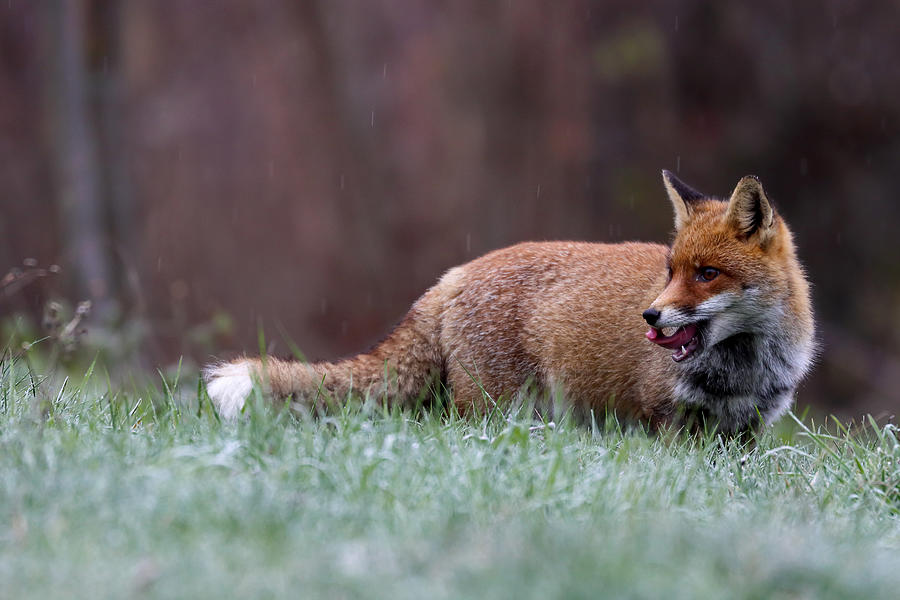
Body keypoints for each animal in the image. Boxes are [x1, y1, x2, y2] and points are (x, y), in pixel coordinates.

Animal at [204, 171, 816, 434]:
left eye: (706, 274)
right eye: (671, 272)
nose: (651, 314)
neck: (742, 367)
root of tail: (452, 276)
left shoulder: (747, 432)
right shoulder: (665, 420)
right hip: (494, 408)